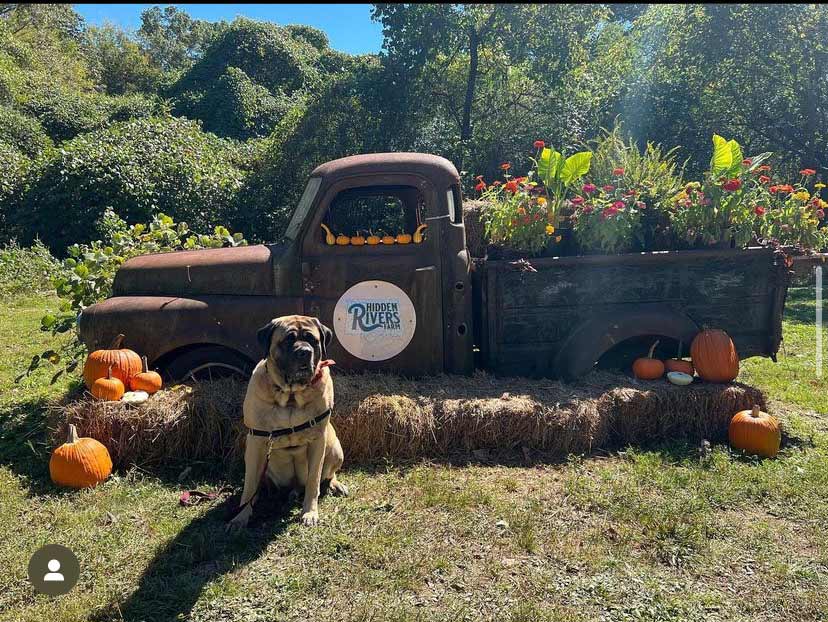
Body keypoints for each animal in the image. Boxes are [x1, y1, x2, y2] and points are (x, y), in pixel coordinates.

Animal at [230, 314, 350, 528]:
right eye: (287, 340)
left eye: (312, 340)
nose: (304, 352)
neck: (291, 396)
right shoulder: (256, 441)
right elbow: (249, 483)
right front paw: (241, 516)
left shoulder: (318, 441)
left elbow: (313, 481)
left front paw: (310, 512)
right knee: (259, 483)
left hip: (335, 449)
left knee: (327, 475)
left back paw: (335, 485)